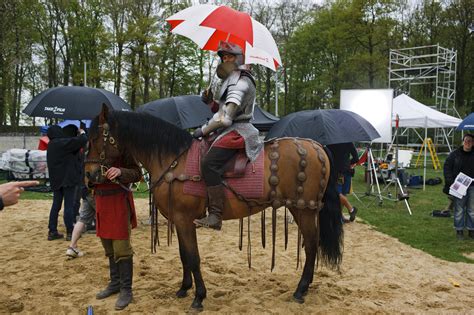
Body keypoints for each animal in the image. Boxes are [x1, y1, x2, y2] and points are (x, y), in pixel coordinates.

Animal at [85, 106, 342, 312]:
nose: (90, 175)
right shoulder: (180, 221)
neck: (174, 160)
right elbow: (184, 255)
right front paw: (184, 288)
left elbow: (193, 257)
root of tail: (317, 146)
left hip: (304, 210)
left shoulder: (184, 219)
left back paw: (300, 289)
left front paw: (198, 297)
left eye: (96, 137)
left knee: (311, 246)